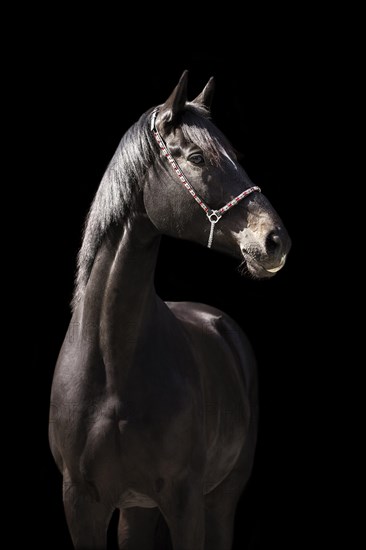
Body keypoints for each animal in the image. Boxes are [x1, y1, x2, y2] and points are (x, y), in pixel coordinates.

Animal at [49, 71, 292, 548]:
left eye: (235, 156)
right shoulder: (80, 504)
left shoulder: (185, 499)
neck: (111, 364)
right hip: (136, 511)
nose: (275, 241)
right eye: (197, 156)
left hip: (219, 501)